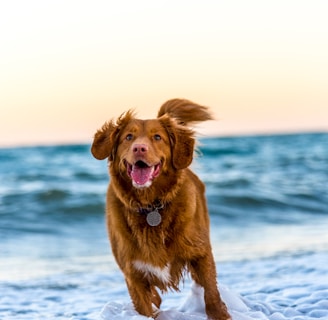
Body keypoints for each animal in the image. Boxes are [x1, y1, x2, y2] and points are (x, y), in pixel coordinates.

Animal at [91, 99, 232, 318]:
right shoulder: (133, 273)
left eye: (157, 137)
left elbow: (211, 295)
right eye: (128, 137)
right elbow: (145, 307)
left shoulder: (201, 254)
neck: (151, 206)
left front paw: (220, 315)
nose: (139, 148)